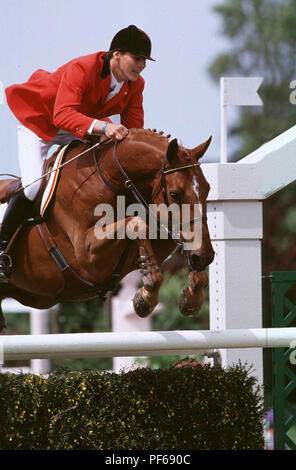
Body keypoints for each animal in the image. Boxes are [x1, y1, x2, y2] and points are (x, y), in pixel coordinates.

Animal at [0, 129, 214, 334]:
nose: (206, 257)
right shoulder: (88, 257)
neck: (111, 180)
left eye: (208, 189)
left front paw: (192, 296)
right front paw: (145, 297)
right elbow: (137, 224)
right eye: (174, 194)